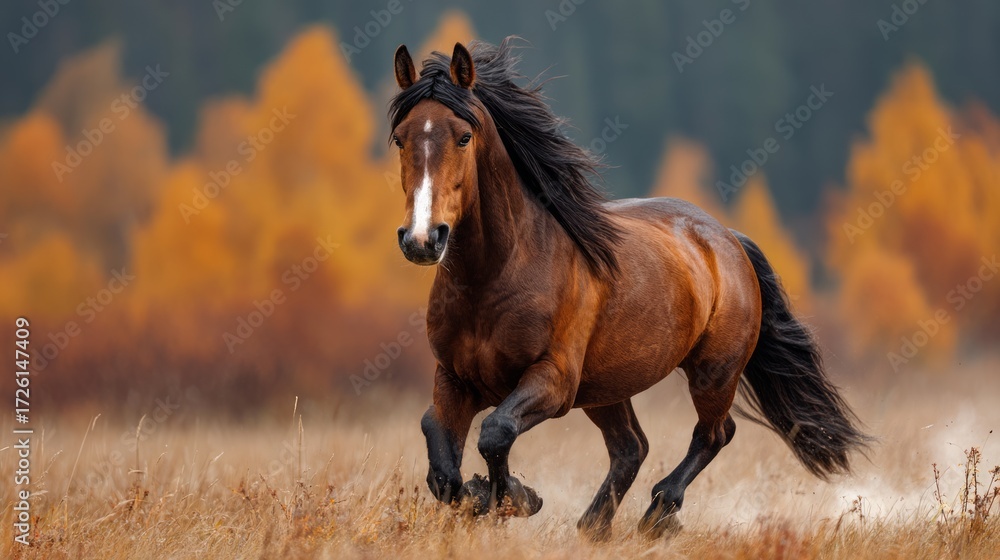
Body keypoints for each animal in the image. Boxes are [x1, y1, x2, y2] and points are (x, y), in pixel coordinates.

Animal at [388, 38, 869, 539]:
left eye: (464, 136)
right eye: (400, 137)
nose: (422, 239)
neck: (494, 276)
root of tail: (728, 239)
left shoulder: (554, 380)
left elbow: (496, 431)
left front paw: (515, 498)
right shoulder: (457, 378)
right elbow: (438, 449)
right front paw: (484, 497)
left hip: (713, 371)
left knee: (714, 434)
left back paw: (658, 514)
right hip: (606, 389)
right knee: (631, 447)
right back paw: (594, 525)